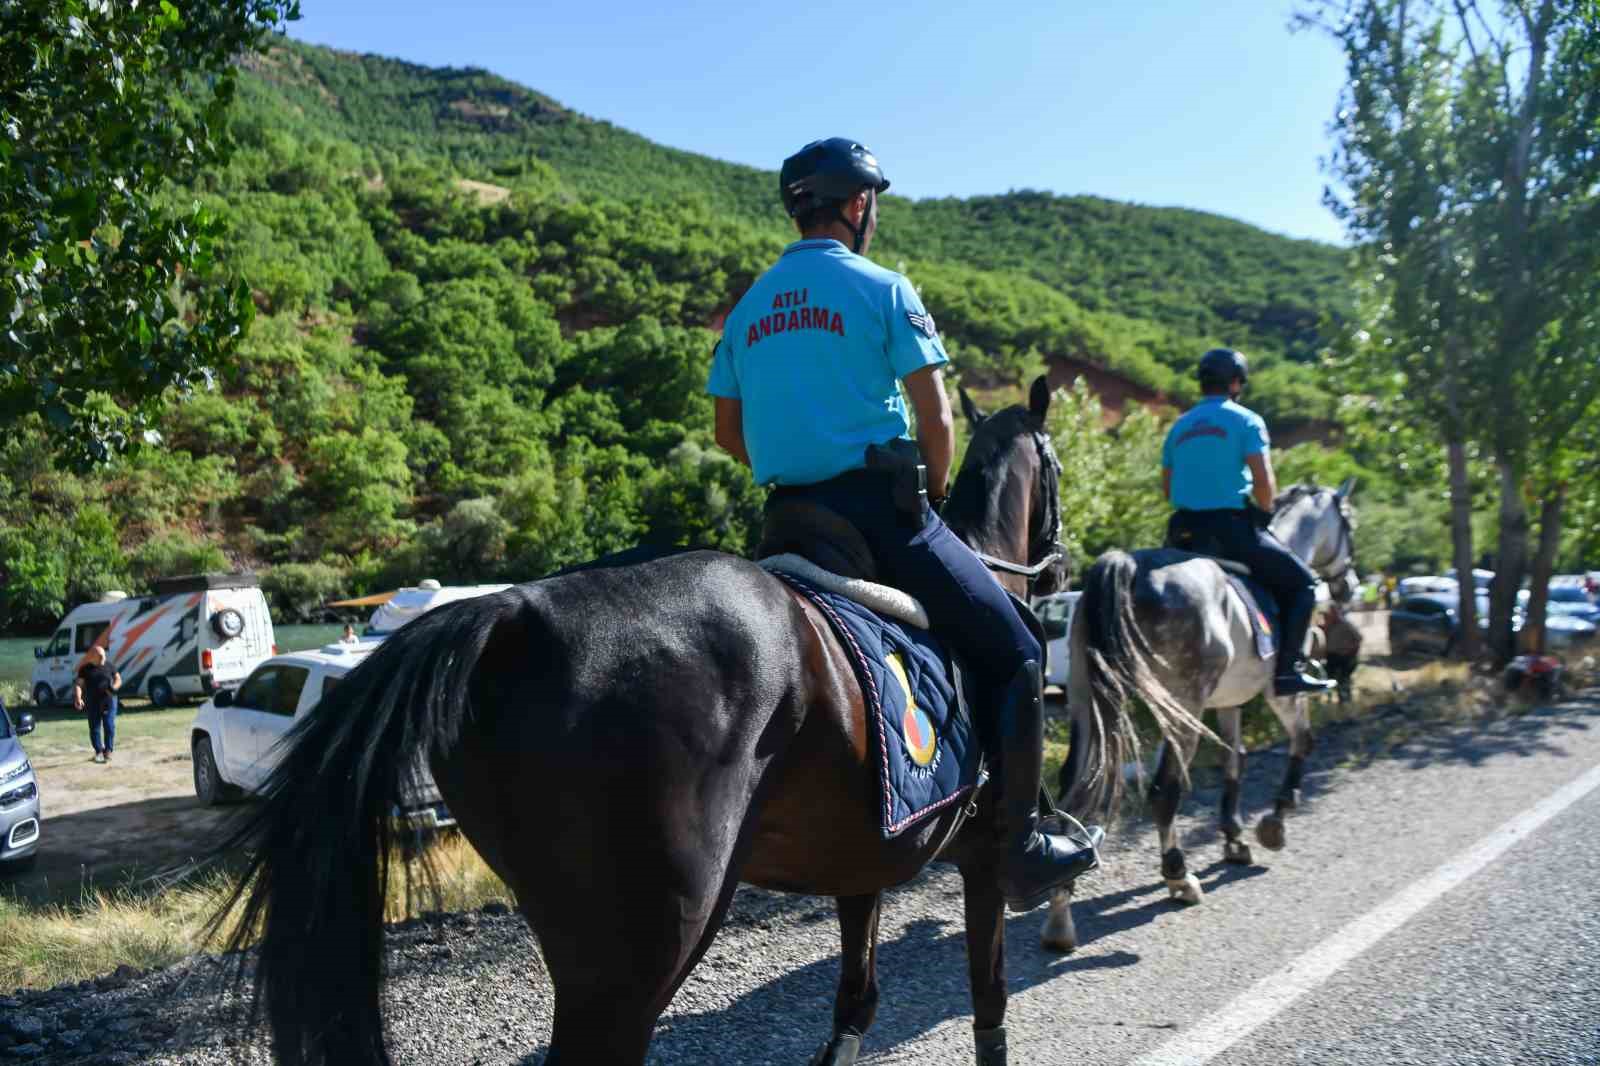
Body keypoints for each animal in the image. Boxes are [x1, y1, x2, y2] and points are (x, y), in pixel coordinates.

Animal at [212, 377, 1203, 1056]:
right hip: (643, 951)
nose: (1059, 562)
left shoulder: (864, 866)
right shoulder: (985, 863)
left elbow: (855, 1007)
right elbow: (989, 1005)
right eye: (1059, 466)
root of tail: (513, 615)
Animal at [1036, 480, 1363, 947]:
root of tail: (1127, 565)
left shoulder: (1227, 702)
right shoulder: (1280, 693)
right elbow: (1302, 740)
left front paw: (1234, 837)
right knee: (1164, 791)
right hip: (1181, 705)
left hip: (1088, 701)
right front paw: (1274, 823)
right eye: (1349, 524)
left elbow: (1234, 759)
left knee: (1075, 788)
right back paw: (1178, 876)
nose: (1349, 587)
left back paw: (1061, 914)